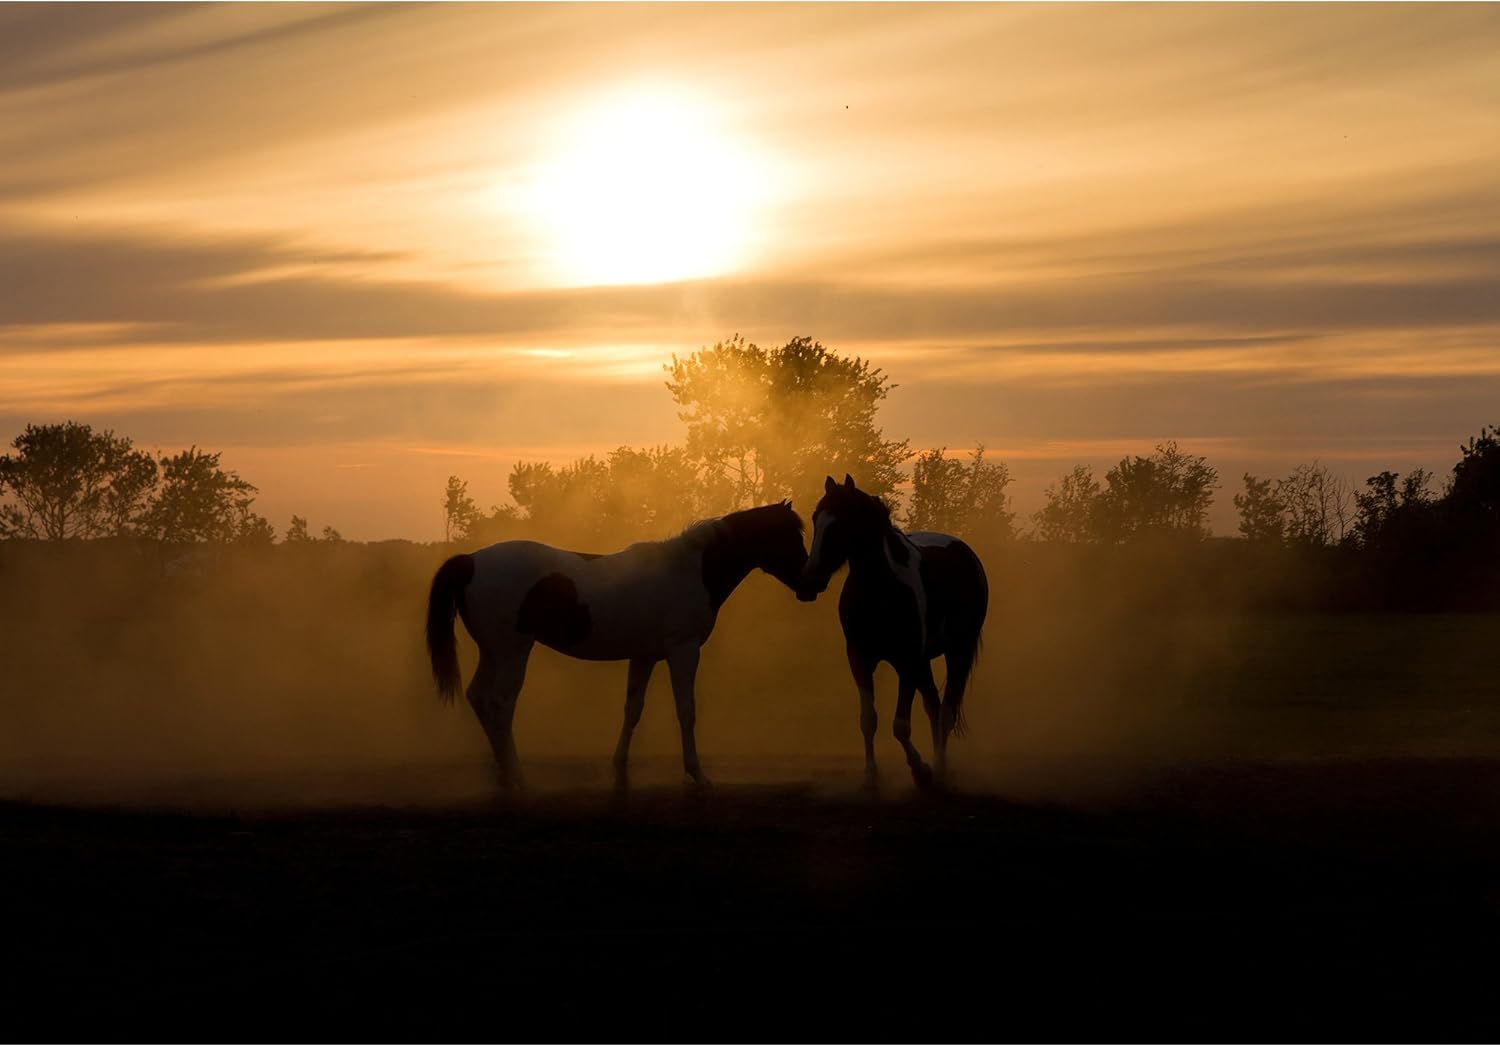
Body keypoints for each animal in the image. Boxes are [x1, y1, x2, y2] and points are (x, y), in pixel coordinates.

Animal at [426, 501, 811, 790]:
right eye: (789, 537)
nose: (811, 585)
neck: (690, 570)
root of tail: (470, 561)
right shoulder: (684, 651)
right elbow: (686, 711)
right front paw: (697, 774)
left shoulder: (644, 656)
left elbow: (632, 709)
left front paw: (620, 765)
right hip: (512, 652)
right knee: (500, 704)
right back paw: (518, 776)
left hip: (493, 652)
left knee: (479, 697)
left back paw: (505, 774)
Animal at [799, 474, 989, 788]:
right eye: (816, 518)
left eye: (841, 520)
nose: (809, 580)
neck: (881, 589)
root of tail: (965, 552)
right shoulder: (860, 660)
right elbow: (868, 720)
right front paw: (871, 773)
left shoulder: (907, 663)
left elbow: (900, 725)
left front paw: (921, 769)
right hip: (924, 662)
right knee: (934, 707)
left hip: (957, 651)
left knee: (946, 711)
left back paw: (940, 767)